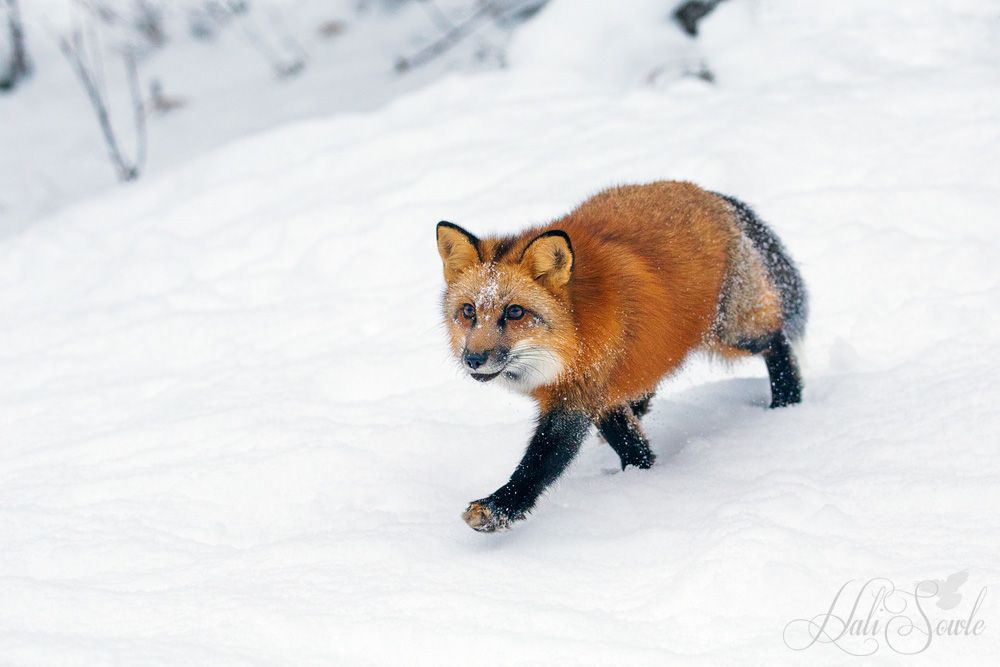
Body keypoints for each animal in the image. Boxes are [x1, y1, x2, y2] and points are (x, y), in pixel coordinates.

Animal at [436, 181, 807, 532]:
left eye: (514, 312)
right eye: (468, 312)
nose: (473, 359)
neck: (572, 340)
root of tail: (708, 193)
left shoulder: (578, 396)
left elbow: (541, 462)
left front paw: (498, 508)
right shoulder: (597, 391)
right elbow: (629, 443)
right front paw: (640, 475)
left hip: (731, 334)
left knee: (777, 342)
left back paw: (787, 401)